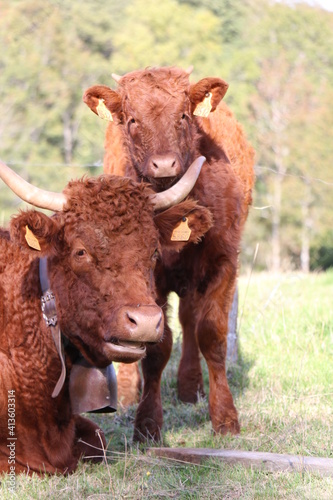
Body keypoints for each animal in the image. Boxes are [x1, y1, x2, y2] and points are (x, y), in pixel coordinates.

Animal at [83, 64, 254, 440]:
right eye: (133, 119)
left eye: (184, 116)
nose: (163, 164)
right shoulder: (152, 278)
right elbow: (155, 345)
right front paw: (147, 422)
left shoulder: (223, 262)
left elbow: (211, 335)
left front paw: (225, 417)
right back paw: (129, 393)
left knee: (190, 320)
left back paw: (190, 388)